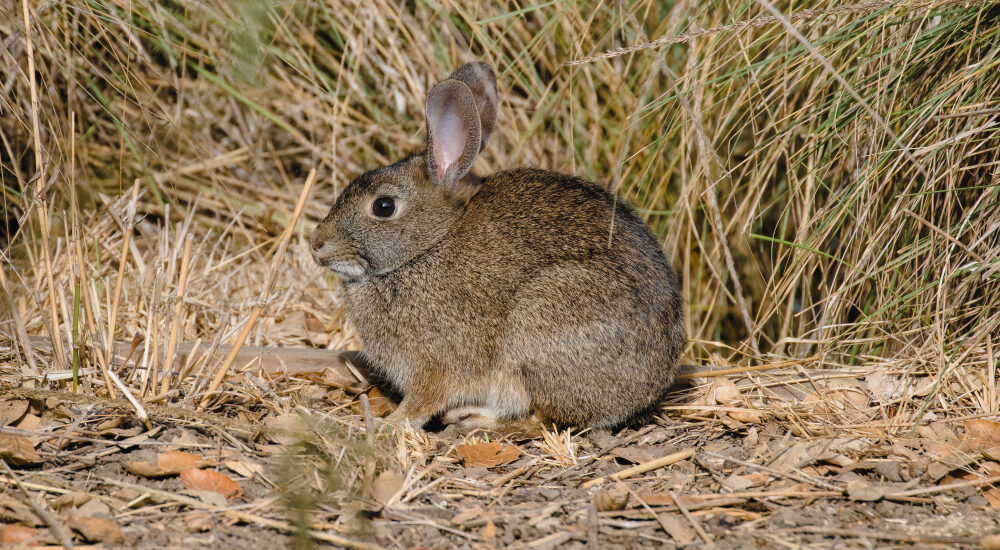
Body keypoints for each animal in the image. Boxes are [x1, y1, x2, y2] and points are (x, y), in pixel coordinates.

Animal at [310, 61, 684, 431]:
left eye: (384, 206)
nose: (317, 244)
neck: (426, 247)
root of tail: (650, 387)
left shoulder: (436, 363)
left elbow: (422, 401)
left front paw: (389, 423)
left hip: (540, 327)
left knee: (543, 419)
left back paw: (474, 417)